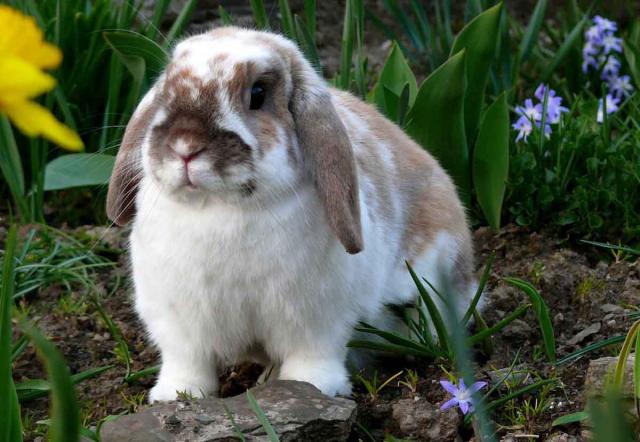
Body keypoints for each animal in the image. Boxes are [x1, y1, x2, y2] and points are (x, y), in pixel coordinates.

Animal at [105, 25, 478, 402]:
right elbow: (187, 361)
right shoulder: (179, 323)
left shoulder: (317, 319)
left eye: (258, 93)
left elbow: (314, 353)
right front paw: (178, 395)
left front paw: (311, 386)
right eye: (166, 89)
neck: (222, 208)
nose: (185, 145)